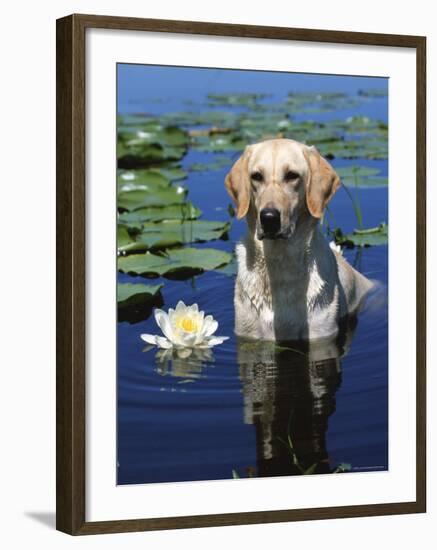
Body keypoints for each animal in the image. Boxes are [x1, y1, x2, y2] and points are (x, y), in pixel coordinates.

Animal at [225, 139, 372, 340]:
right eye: (256, 176)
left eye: (292, 176)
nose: (269, 218)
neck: (280, 262)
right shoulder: (248, 331)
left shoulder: (321, 334)